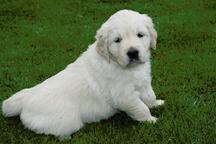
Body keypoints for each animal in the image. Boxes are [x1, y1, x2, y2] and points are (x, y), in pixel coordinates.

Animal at [1, 9, 164, 138]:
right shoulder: (124, 96)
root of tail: (26, 98)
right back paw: (67, 137)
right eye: (117, 40)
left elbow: (149, 96)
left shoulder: (144, 82)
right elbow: (140, 107)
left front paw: (156, 104)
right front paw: (151, 120)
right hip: (67, 119)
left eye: (140, 35)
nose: (132, 52)